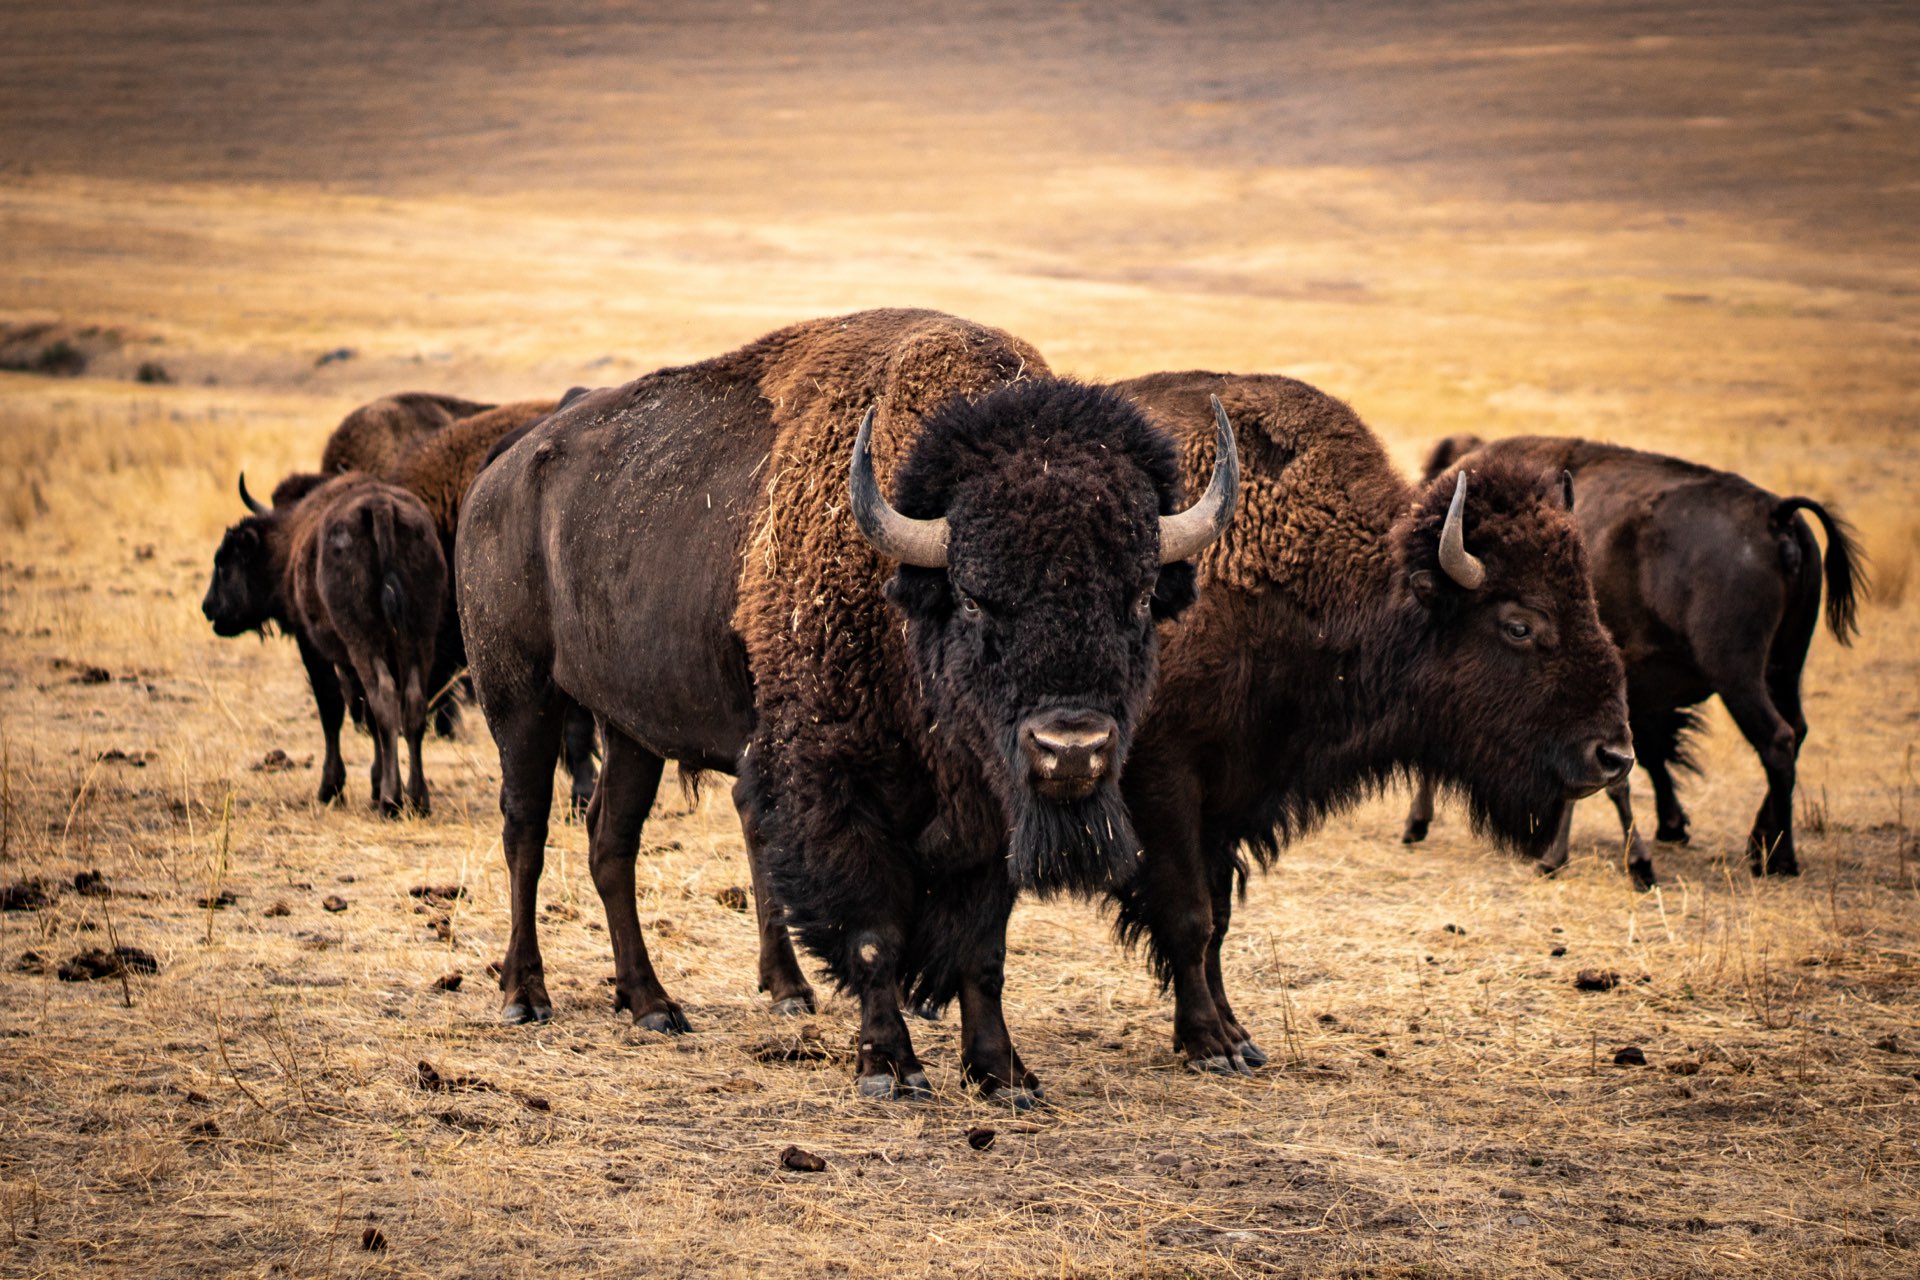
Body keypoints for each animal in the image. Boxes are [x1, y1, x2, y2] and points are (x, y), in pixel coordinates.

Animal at [458, 312, 1236, 1113]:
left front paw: (1003, 1075)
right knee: (525, 830)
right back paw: (525, 995)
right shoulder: (836, 788)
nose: (1071, 749)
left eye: (1139, 598)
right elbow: (873, 930)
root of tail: (503, 472)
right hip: (519, 698)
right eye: (971, 597)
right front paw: (890, 1068)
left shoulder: (989, 810)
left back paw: (652, 1005)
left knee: (610, 843)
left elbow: (982, 947)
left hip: (631, 729)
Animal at [1105, 376, 1628, 1074]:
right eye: (1519, 624)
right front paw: (1211, 1046)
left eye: (1589, 600)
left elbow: (1217, 917)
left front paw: (1240, 1039)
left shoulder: (1232, 792)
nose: (1613, 755)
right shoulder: (1167, 781)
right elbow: (1188, 915)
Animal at [1405, 429, 1866, 882]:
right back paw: (1759, 844)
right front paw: (1667, 829)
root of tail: (1777, 514)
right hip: (1785, 667)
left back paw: (1778, 858)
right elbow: (1634, 758)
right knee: (1796, 731)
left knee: (1777, 740)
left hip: (1738, 677)